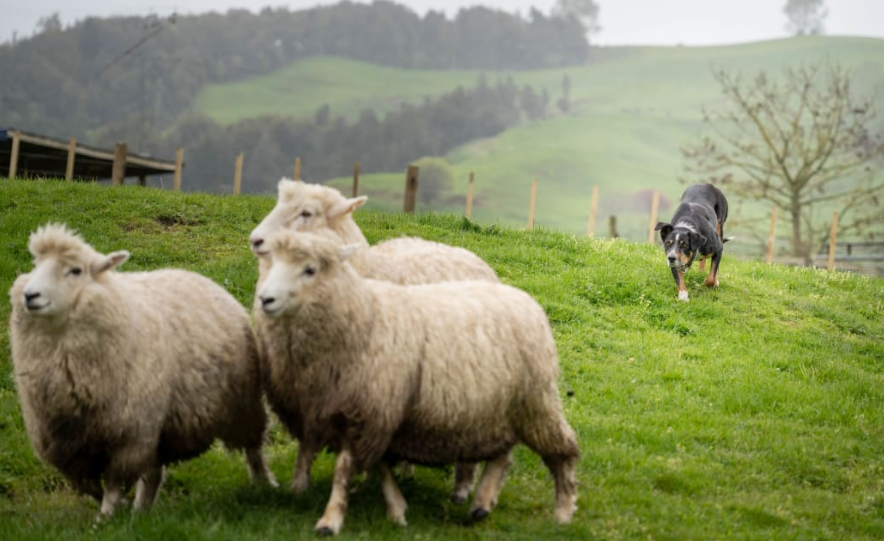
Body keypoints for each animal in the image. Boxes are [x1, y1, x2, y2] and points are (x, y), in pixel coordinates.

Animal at [8, 224, 276, 519]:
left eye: (76, 270)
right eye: (36, 265)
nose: (30, 295)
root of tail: (189, 273)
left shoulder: (130, 434)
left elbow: (113, 484)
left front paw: (107, 517)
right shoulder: (65, 445)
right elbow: (91, 487)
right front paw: (116, 511)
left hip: (241, 404)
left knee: (253, 448)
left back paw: (263, 483)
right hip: (160, 428)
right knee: (153, 472)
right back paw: (142, 511)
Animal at [256, 231, 579, 535]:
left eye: (310, 269)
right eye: (272, 261)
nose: (264, 299)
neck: (362, 317)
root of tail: (525, 299)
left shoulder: (370, 413)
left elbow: (345, 469)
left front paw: (330, 519)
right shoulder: (343, 412)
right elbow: (373, 464)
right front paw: (394, 509)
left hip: (534, 403)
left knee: (562, 452)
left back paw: (563, 513)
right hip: (494, 410)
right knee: (501, 455)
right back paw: (481, 503)